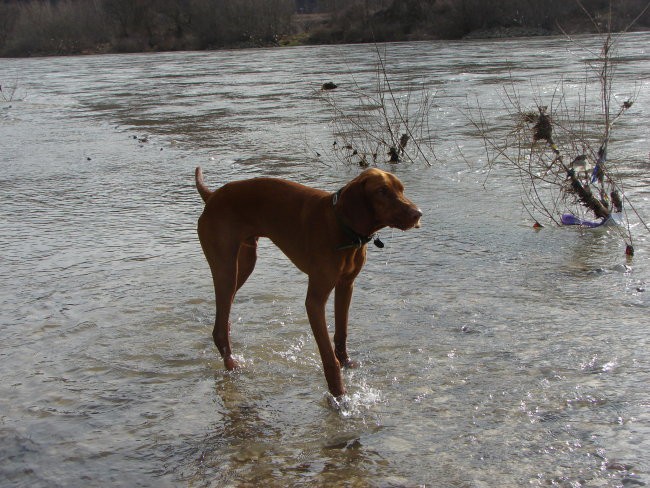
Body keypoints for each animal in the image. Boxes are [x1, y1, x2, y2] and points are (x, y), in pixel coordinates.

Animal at [195, 167, 420, 396]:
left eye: (401, 189)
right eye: (382, 191)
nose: (418, 214)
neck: (342, 227)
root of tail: (212, 196)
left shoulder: (346, 286)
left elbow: (341, 333)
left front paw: (346, 363)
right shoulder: (315, 301)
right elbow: (328, 356)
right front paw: (338, 393)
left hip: (245, 263)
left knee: (224, 315)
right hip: (226, 269)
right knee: (219, 327)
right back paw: (232, 365)